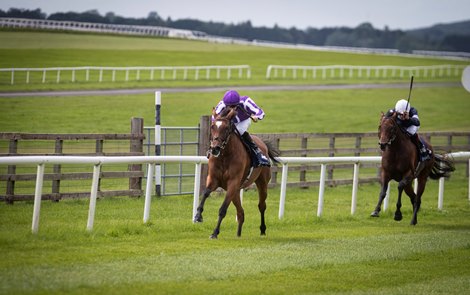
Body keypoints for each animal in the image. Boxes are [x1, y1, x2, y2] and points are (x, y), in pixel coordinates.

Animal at [192, 107, 278, 239]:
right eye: (212, 126)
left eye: (226, 128)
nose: (215, 148)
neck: (225, 156)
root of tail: (264, 145)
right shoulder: (213, 179)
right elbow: (205, 193)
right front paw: (198, 216)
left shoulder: (233, 182)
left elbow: (223, 209)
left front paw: (215, 232)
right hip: (236, 191)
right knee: (241, 212)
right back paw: (238, 234)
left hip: (262, 183)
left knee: (261, 206)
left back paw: (263, 230)